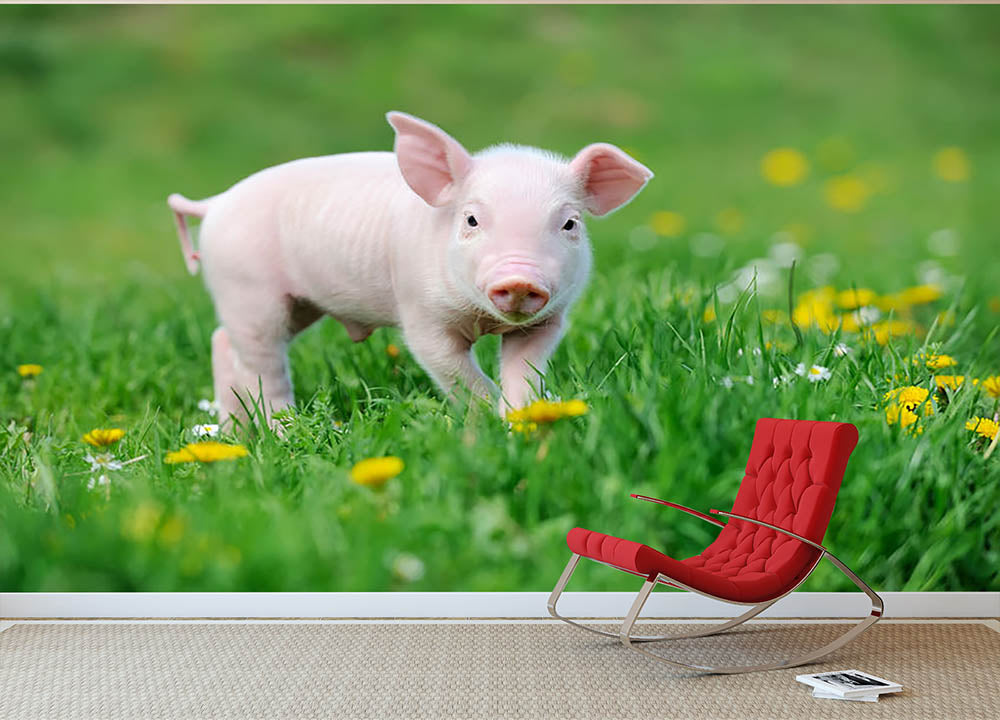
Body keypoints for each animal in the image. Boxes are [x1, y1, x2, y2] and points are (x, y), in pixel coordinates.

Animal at [168, 112, 652, 426]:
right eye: (471, 220)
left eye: (570, 223)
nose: (519, 278)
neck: (483, 320)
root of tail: (215, 203)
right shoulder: (421, 316)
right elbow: (457, 373)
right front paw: (487, 424)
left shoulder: (548, 320)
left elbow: (524, 371)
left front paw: (523, 419)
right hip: (247, 290)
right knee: (261, 366)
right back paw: (283, 430)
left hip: (292, 303)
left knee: (224, 344)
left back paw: (234, 435)